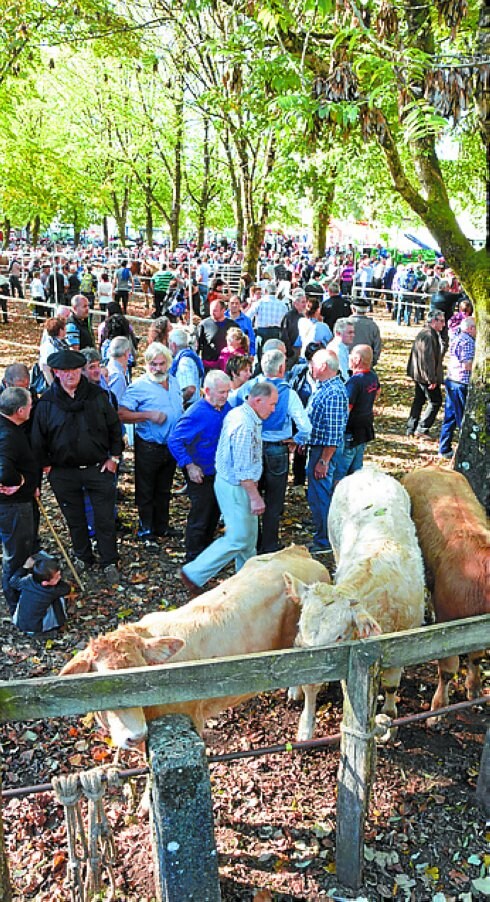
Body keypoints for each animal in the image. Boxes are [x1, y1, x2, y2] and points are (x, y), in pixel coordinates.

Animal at [286, 474, 426, 740]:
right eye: (299, 625)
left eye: (339, 636)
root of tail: (370, 470)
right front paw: (305, 727)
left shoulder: (406, 643)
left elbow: (392, 686)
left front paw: (389, 720)